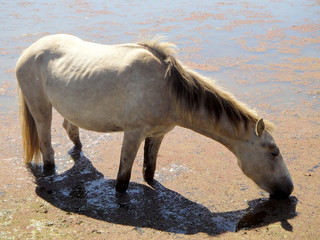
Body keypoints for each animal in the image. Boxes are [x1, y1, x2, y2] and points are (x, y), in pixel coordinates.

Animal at [16, 33, 292, 199]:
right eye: (274, 153)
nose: (288, 189)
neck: (168, 88)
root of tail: (29, 50)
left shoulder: (157, 135)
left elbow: (149, 170)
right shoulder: (133, 134)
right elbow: (123, 179)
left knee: (70, 128)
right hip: (41, 110)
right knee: (47, 147)